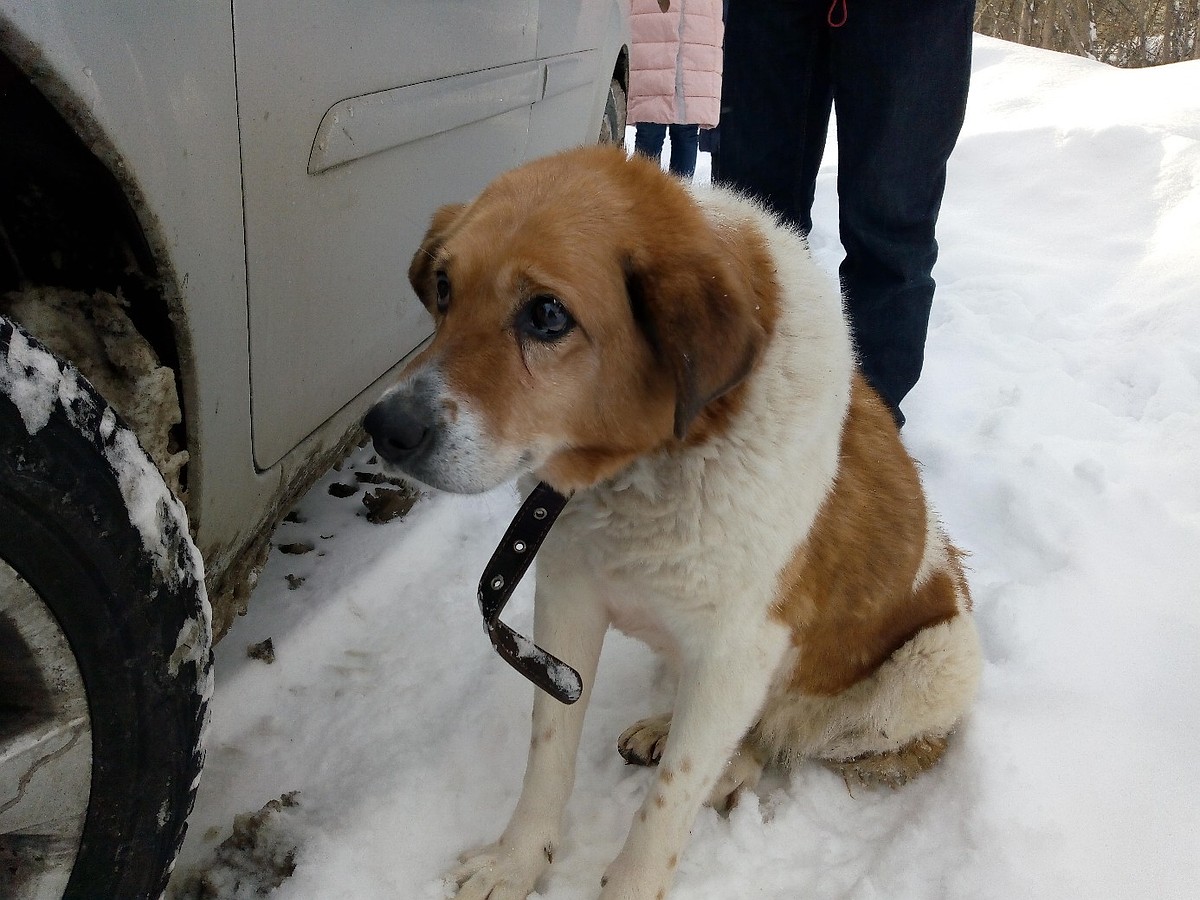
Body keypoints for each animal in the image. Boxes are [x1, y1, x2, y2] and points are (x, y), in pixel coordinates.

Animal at [367, 148, 984, 900]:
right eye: (444, 287)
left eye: (547, 314)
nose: (385, 428)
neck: (654, 464)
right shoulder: (567, 600)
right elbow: (549, 751)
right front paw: (517, 861)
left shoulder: (740, 651)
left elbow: (669, 801)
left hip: (935, 661)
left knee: (780, 736)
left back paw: (733, 765)